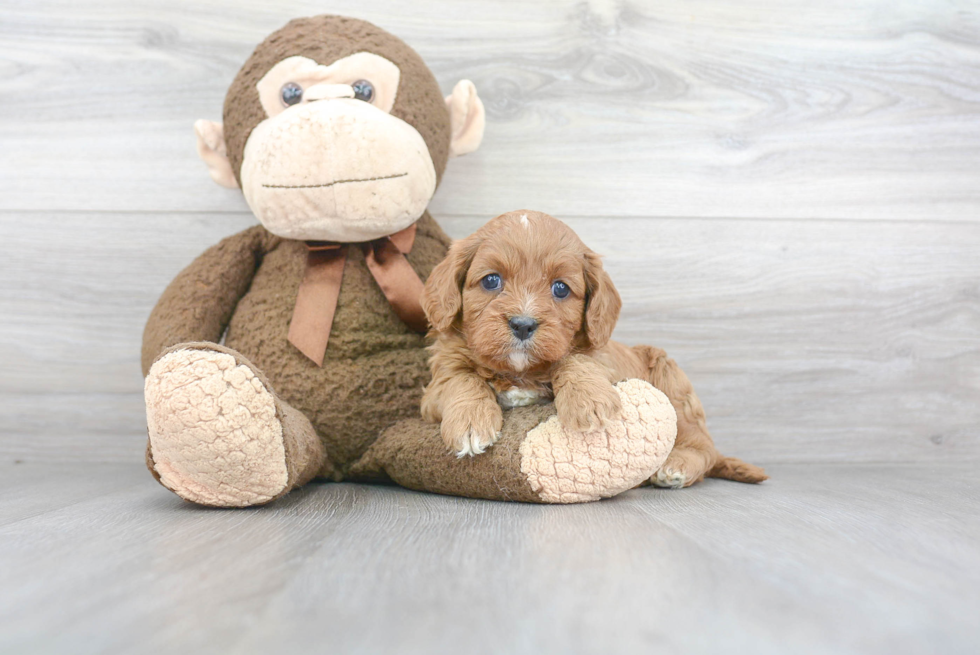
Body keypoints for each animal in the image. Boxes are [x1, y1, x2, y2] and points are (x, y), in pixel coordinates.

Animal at [420, 210, 764, 486]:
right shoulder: (435, 386)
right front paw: (470, 422)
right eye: (491, 280)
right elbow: (461, 379)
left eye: (560, 288)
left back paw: (677, 465)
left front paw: (588, 400)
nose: (523, 324)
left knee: (704, 446)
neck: (520, 371)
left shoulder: (604, 360)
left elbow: (576, 360)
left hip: (671, 380)